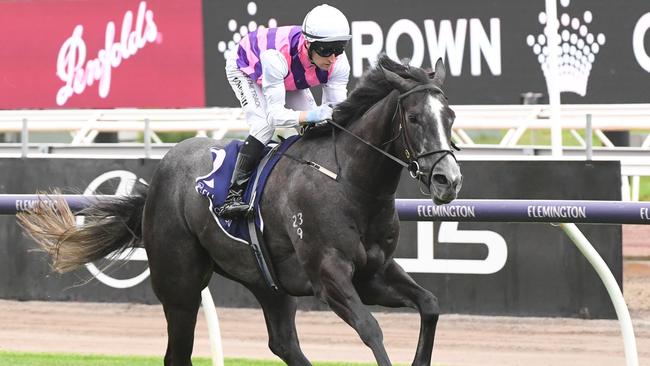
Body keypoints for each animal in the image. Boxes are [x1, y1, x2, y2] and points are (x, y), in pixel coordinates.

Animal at [19, 55, 460, 366]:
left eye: (451, 116)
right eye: (415, 117)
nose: (448, 180)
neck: (350, 183)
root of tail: (161, 172)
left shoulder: (373, 273)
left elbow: (431, 306)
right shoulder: (330, 275)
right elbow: (371, 329)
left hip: (267, 281)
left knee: (283, 343)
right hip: (180, 287)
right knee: (177, 353)